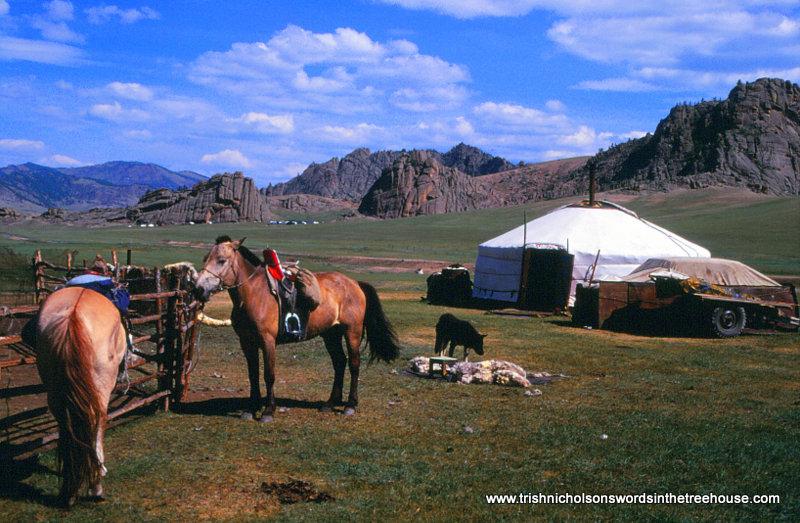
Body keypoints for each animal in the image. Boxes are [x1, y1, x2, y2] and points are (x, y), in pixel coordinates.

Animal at [30, 286, 126, 508]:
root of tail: (73, 316)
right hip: (100, 392)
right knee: (96, 425)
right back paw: (96, 486)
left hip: (56, 395)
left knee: (66, 428)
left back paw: (69, 489)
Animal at [194, 237, 400, 422]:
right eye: (205, 258)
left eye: (221, 260)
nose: (199, 289)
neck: (253, 294)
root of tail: (355, 283)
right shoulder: (246, 342)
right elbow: (253, 375)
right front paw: (251, 409)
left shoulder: (268, 341)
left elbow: (269, 374)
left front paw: (268, 411)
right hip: (331, 334)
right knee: (339, 363)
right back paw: (330, 403)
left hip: (352, 332)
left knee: (354, 364)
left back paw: (350, 405)